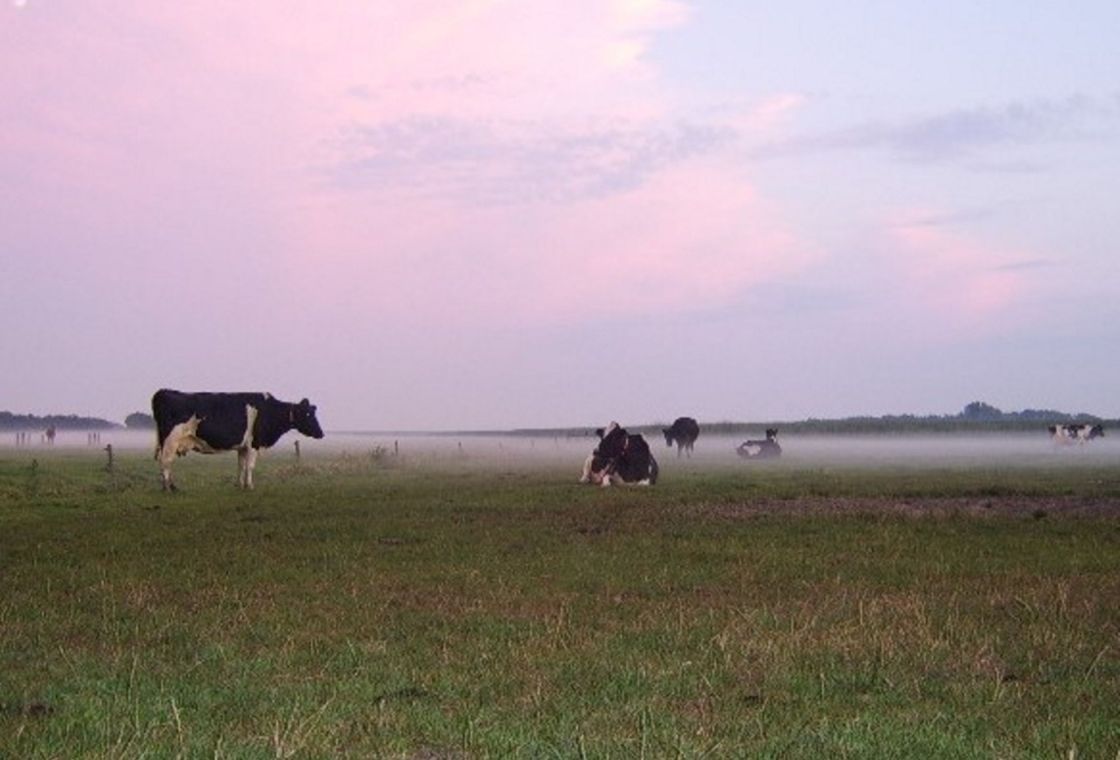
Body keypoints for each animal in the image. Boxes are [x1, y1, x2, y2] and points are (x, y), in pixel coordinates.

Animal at [151, 389, 324, 490]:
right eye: (308, 414)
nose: (321, 434)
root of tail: (163, 392)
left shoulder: (242, 446)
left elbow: (241, 465)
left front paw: (239, 485)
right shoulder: (254, 444)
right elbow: (250, 466)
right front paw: (250, 486)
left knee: (166, 462)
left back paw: (171, 486)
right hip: (171, 440)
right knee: (166, 461)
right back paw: (168, 487)